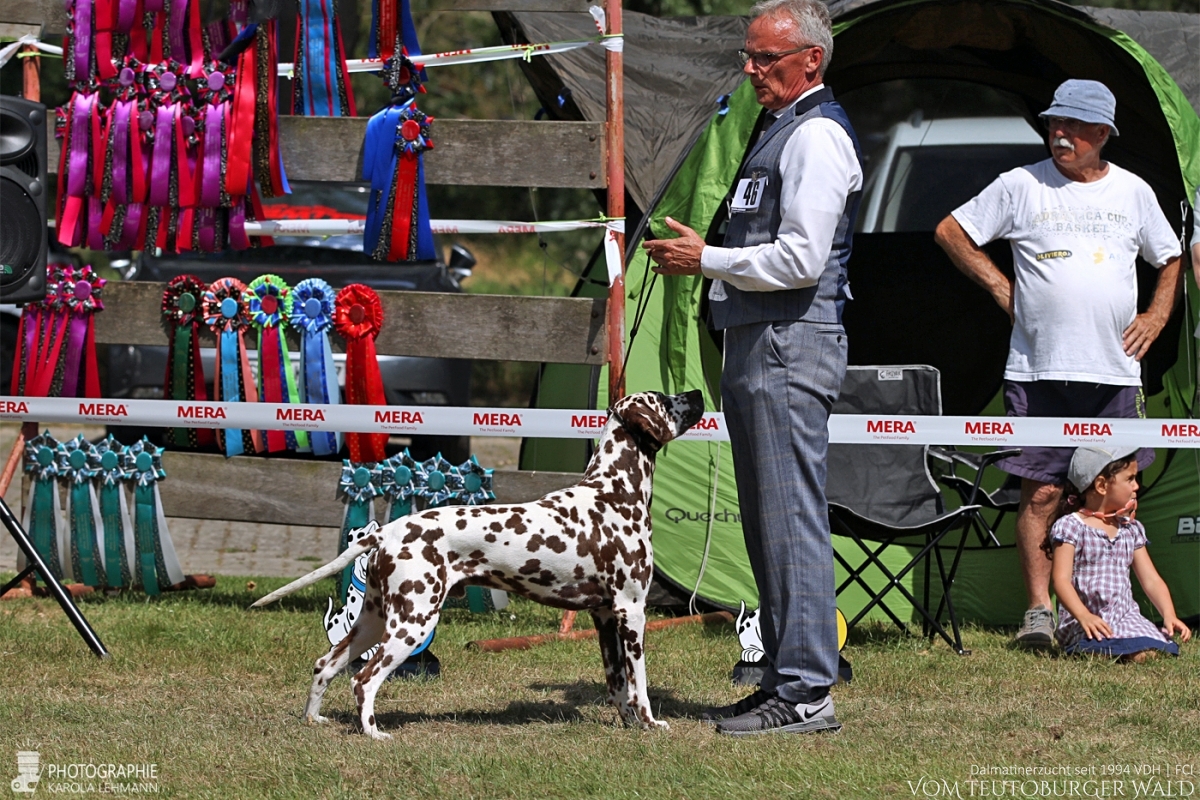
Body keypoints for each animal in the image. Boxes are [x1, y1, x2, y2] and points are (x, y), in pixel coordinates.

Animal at [253, 388, 700, 738]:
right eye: (664, 399)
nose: (697, 394)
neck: (612, 493)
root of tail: (388, 532)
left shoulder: (605, 616)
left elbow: (618, 686)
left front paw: (630, 725)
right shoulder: (631, 612)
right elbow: (640, 685)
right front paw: (651, 724)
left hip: (374, 622)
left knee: (324, 666)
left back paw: (314, 720)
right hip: (412, 625)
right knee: (364, 680)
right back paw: (373, 733)